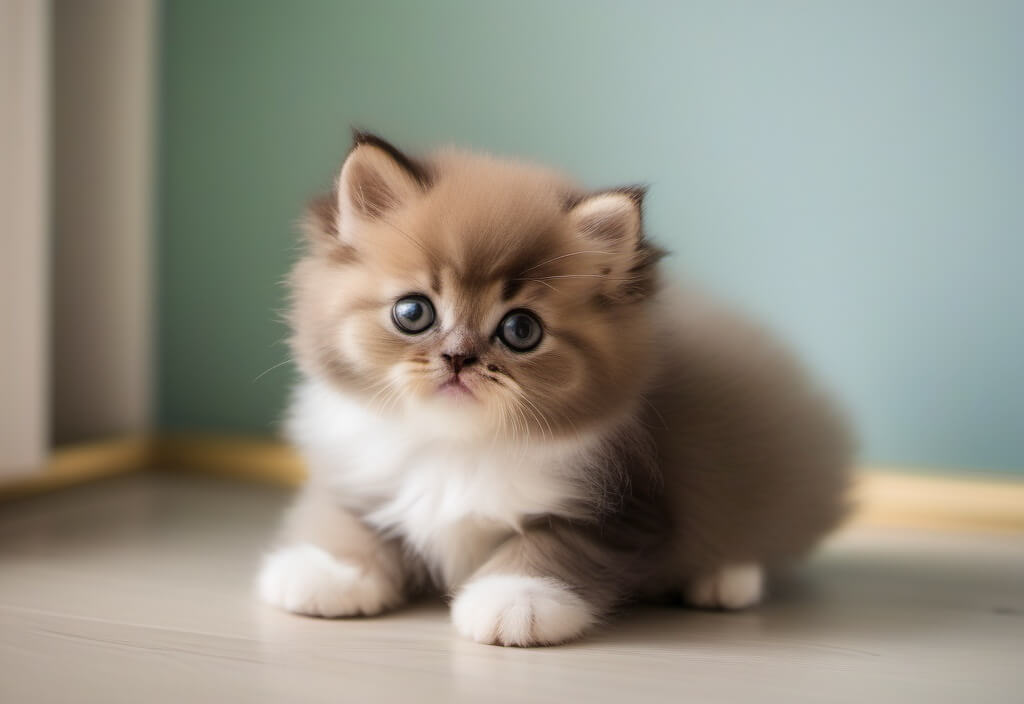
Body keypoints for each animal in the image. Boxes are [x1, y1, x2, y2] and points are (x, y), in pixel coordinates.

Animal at [260, 129, 851, 646]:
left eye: (521, 330)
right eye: (413, 312)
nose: (458, 358)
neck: (457, 446)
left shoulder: (622, 506)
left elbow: (553, 546)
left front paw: (516, 600)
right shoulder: (357, 475)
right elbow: (345, 522)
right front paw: (327, 572)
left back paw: (725, 580)